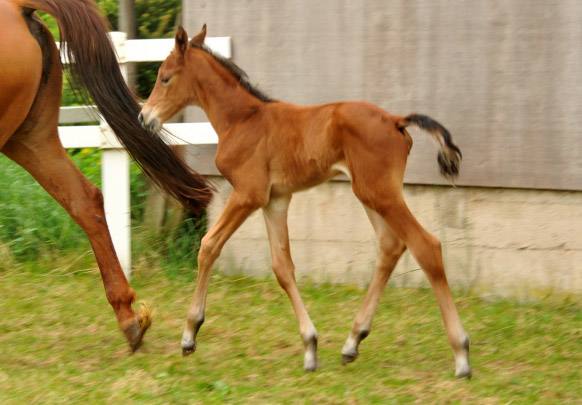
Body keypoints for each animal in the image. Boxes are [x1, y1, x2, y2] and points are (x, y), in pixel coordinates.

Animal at [141, 26, 474, 378]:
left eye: (164, 77)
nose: (144, 116)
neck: (243, 120)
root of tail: (395, 119)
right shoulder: (275, 200)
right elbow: (282, 266)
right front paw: (310, 347)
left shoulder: (247, 194)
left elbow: (208, 246)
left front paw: (190, 334)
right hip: (371, 193)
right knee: (391, 246)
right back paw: (353, 341)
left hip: (380, 193)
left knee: (426, 246)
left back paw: (461, 353)